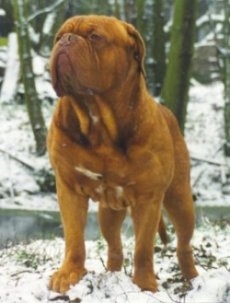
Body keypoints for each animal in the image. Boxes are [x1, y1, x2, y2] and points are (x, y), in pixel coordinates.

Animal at [48, 14, 198, 294]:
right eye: (58, 36)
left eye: (95, 37)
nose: (67, 40)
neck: (97, 118)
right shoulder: (69, 188)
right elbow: (74, 237)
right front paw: (70, 275)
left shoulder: (149, 198)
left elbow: (143, 248)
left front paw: (145, 286)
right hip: (109, 212)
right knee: (114, 246)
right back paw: (113, 275)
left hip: (180, 200)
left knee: (183, 244)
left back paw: (192, 278)